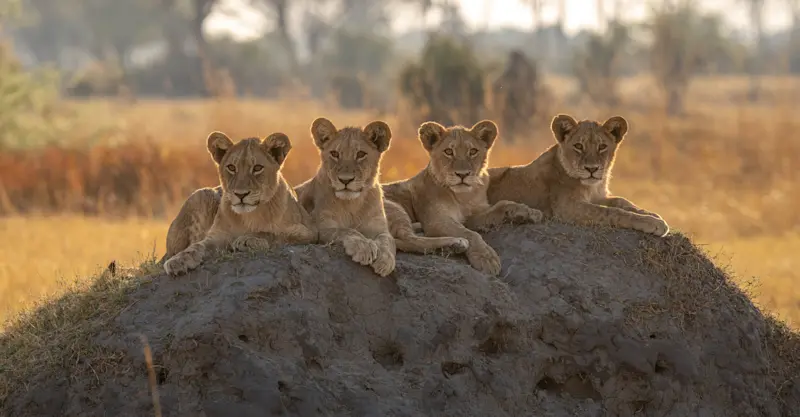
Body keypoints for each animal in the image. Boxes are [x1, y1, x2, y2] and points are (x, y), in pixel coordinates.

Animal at [163, 131, 317, 276]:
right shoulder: (218, 235)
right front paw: (178, 261)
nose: (241, 194)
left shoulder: (307, 232)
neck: (249, 216)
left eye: (257, 168)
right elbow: (197, 246)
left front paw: (247, 239)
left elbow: (272, 234)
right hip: (202, 194)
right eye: (231, 167)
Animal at [381, 120, 544, 276]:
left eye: (472, 151)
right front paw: (486, 258)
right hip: (393, 207)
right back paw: (455, 244)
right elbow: (470, 234)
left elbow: (502, 204)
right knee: (407, 240)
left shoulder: (471, 217)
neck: (464, 196)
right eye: (448, 151)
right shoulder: (437, 221)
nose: (462, 174)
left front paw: (529, 212)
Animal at [487, 113, 669, 236]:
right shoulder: (567, 208)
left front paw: (650, 213)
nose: (592, 169)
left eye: (602, 146)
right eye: (578, 146)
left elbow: (621, 201)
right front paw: (653, 223)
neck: (593, 186)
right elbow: (612, 212)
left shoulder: (597, 196)